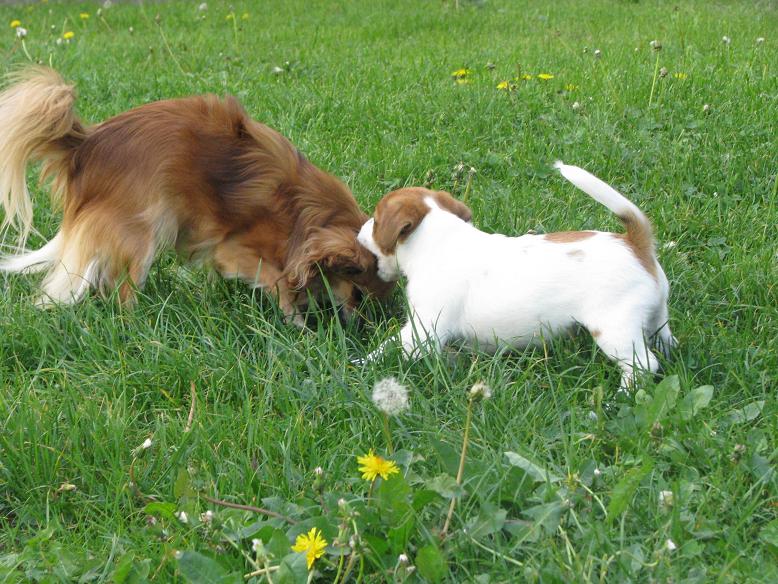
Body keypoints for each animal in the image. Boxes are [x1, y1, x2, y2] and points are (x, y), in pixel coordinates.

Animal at [0, 69, 388, 324]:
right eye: (358, 294)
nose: (365, 325)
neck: (307, 215)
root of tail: (86, 143)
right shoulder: (236, 249)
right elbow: (279, 281)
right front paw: (297, 322)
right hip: (144, 232)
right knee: (123, 291)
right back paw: (137, 324)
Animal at [356, 162, 672, 388]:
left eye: (375, 221)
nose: (359, 231)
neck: (439, 241)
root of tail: (635, 243)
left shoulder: (422, 332)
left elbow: (389, 348)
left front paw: (359, 364)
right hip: (656, 317)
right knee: (663, 342)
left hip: (614, 328)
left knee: (644, 365)